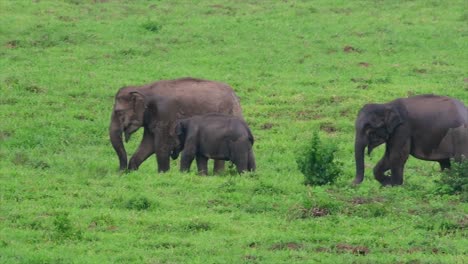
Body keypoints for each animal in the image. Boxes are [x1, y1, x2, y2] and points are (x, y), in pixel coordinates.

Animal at [108, 78, 243, 173]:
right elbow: (148, 145)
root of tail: (235, 95)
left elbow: (161, 146)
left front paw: (163, 173)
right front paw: (133, 171)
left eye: (118, 112)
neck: (143, 89)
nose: (121, 171)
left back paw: (218, 175)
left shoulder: (165, 114)